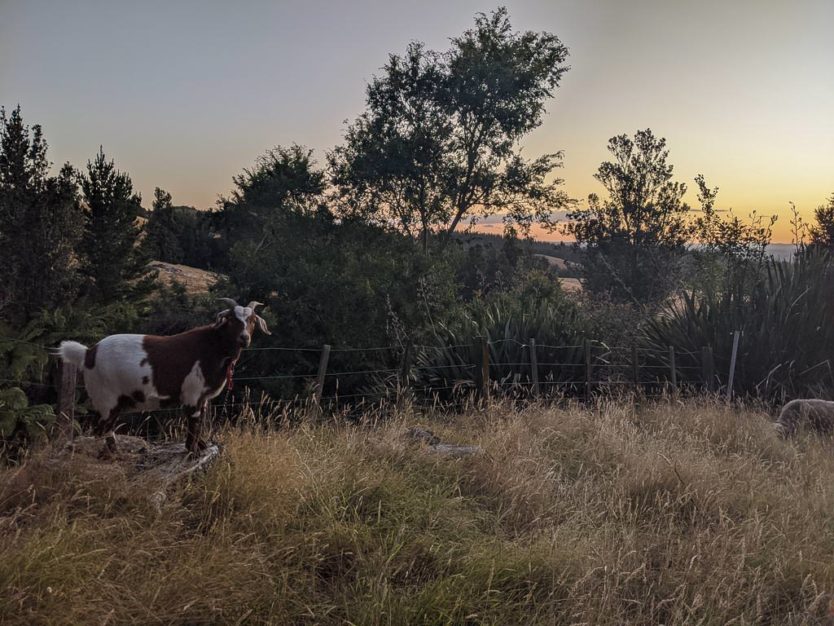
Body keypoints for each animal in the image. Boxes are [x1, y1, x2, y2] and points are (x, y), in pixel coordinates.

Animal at [56, 298, 270, 454]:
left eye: (252, 321)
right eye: (232, 320)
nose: (244, 338)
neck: (214, 347)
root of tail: (88, 353)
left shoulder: (202, 397)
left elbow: (199, 421)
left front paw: (201, 446)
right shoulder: (192, 392)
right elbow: (193, 420)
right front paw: (193, 450)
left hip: (115, 401)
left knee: (107, 428)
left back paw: (114, 453)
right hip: (105, 397)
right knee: (100, 429)